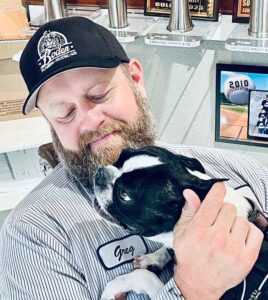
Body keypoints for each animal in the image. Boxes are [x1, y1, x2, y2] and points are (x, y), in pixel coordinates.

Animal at [93, 146, 266, 300]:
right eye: (121, 155)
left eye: (124, 194)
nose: (100, 173)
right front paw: (152, 259)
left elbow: (144, 276)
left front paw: (114, 288)